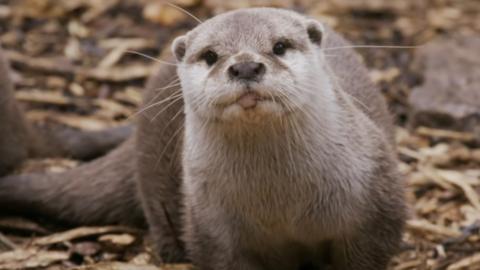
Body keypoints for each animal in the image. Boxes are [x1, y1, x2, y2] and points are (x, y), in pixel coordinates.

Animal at [0, 7, 406, 268]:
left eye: (279, 46)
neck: (281, 205)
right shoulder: (213, 229)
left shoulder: (376, 212)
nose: (246, 65)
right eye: (210, 55)